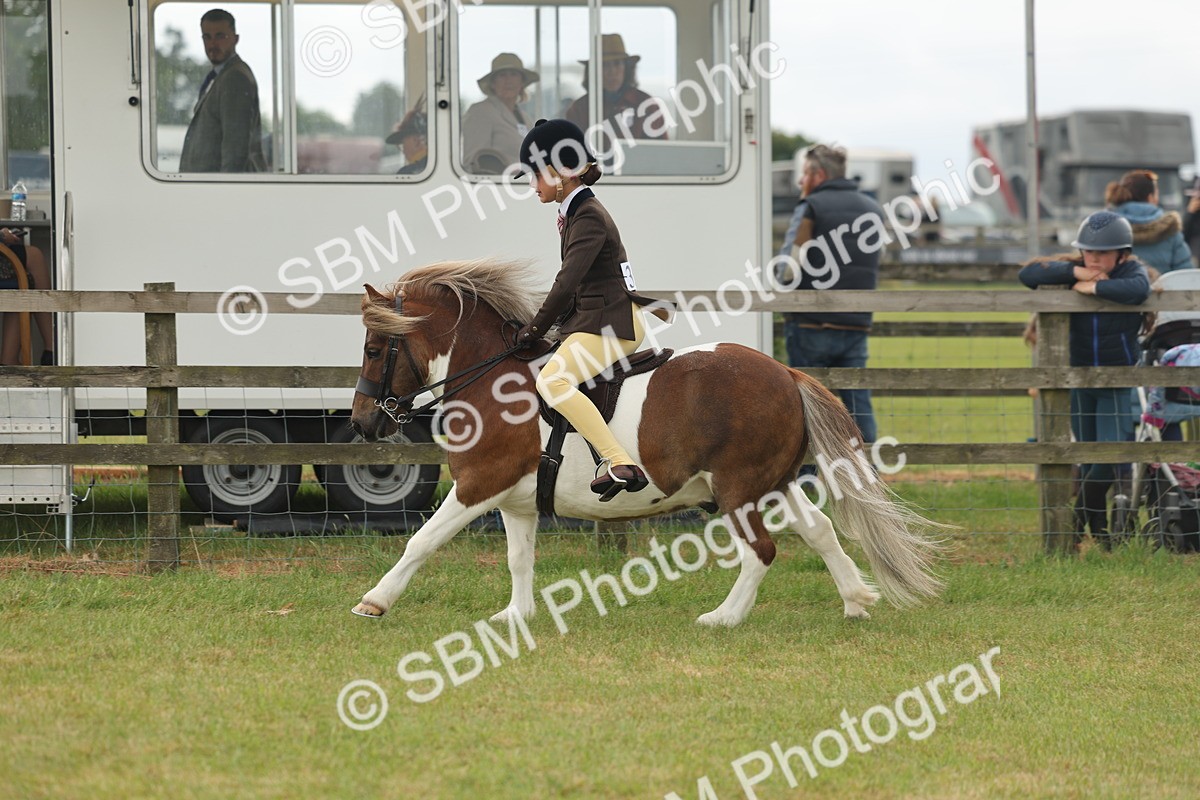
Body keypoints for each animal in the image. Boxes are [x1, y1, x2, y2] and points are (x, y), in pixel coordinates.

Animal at [348, 259, 942, 627]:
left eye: (376, 349)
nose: (362, 423)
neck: (490, 380)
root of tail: (787, 373)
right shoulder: (515, 501)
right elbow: (519, 559)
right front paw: (517, 616)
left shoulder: (478, 484)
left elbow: (421, 541)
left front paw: (374, 602)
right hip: (772, 484)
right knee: (818, 531)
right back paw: (856, 601)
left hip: (738, 489)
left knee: (761, 550)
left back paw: (724, 618)